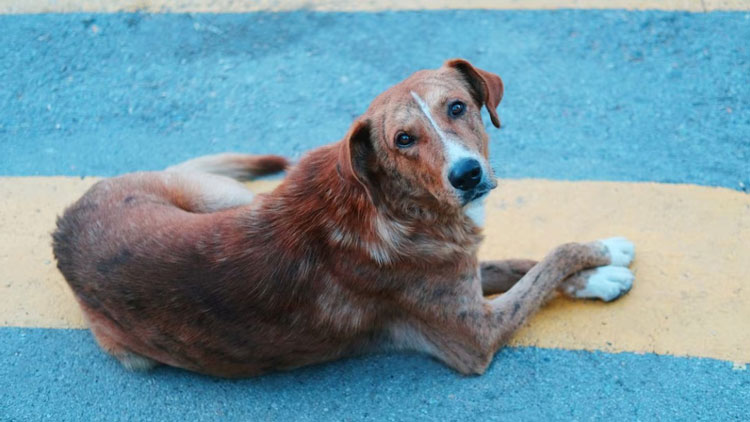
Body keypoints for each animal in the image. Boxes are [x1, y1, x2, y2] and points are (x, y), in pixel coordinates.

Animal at [53, 58, 636, 376]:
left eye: (457, 107)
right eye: (403, 140)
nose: (467, 175)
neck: (392, 204)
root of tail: (68, 218)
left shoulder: (462, 271)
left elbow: (522, 263)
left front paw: (599, 268)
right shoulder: (475, 335)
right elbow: (548, 262)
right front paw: (603, 258)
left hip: (229, 198)